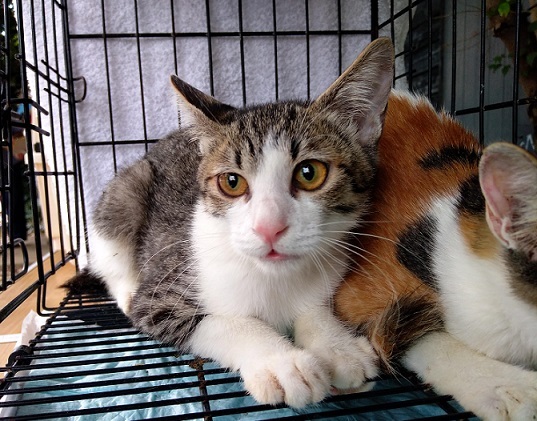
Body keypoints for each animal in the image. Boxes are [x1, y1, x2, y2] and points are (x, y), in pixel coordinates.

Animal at [65, 38, 395, 408]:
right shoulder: (161, 298)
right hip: (126, 192)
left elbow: (314, 308)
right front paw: (281, 361)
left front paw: (338, 346)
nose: (269, 227)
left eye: (310, 173)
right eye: (232, 182)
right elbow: (221, 323)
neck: (272, 280)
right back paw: (125, 287)